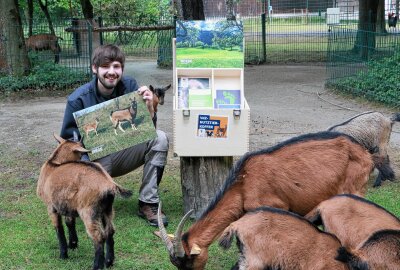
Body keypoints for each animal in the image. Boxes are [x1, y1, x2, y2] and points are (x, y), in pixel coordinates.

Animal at [36, 134, 132, 268]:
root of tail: (109, 184)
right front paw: (73, 244)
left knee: (98, 237)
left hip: (88, 211)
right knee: (110, 231)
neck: (54, 164)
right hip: (107, 209)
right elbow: (69, 223)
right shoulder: (68, 205)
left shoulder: (51, 207)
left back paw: (97, 266)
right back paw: (109, 261)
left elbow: (59, 228)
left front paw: (63, 254)